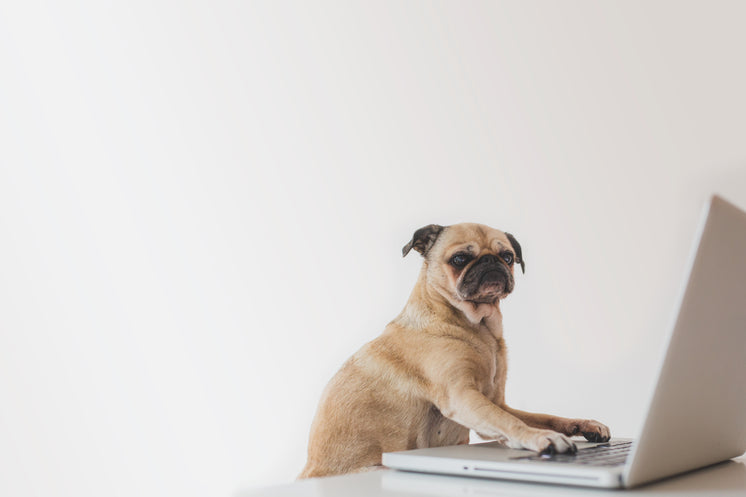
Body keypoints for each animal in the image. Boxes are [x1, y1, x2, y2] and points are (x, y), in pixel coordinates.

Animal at [298, 224, 612, 476]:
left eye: (508, 257)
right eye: (460, 259)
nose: (491, 261)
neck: (478, 328)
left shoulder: (496, 401)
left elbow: (544, 416)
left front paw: (583, 425)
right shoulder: (463, 397)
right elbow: (509, 422)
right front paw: (541, 438)